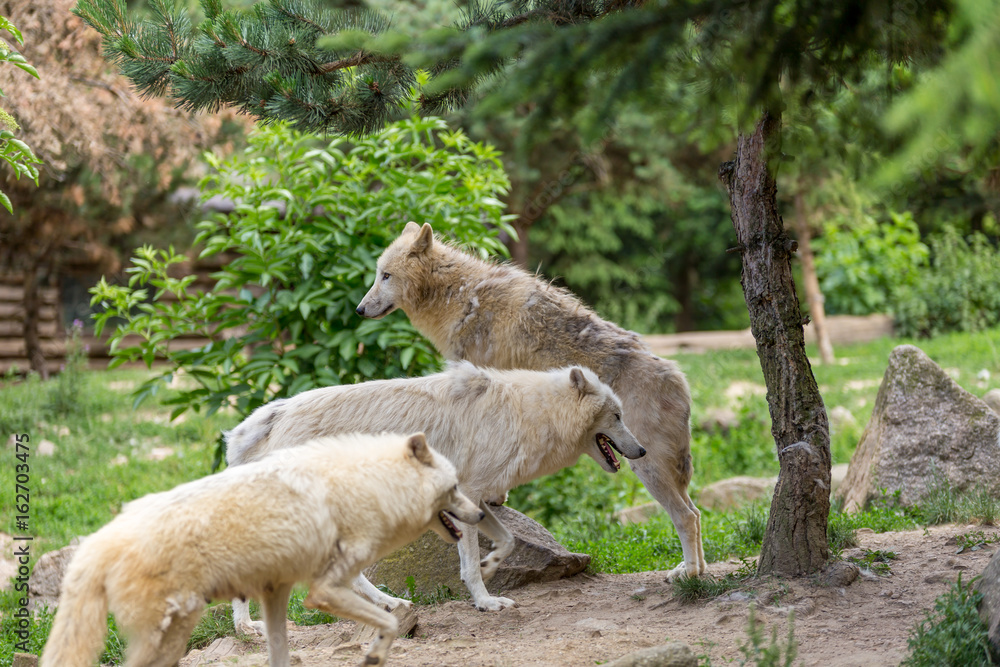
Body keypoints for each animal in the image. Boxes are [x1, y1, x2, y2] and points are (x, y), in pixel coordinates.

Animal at [40, 433, 483, 667]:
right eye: (454, 487)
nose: (480, 514)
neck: (372, 485)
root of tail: (99, 542)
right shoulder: (323, 590)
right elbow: (385, 618)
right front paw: (376, 650)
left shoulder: (277, 591)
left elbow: (281, 653)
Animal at [226, 361, 645, 633]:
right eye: (618, 416)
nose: (641, 451)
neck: (528, 414)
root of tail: (269, 416)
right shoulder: (469, 493)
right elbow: (470, 562)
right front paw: (486, 601)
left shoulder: (477, 498)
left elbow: (507, 540)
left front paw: (492, 567)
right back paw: (249, 627)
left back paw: (387, 604)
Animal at [357, 221, 707, 580]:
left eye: (385, 275)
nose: (359, 309)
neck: (461, 297)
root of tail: (678, 376)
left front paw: (494, 497)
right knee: (696, 512)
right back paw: (693, 568)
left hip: (645, 465)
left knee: (686, 516)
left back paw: (690, 575)